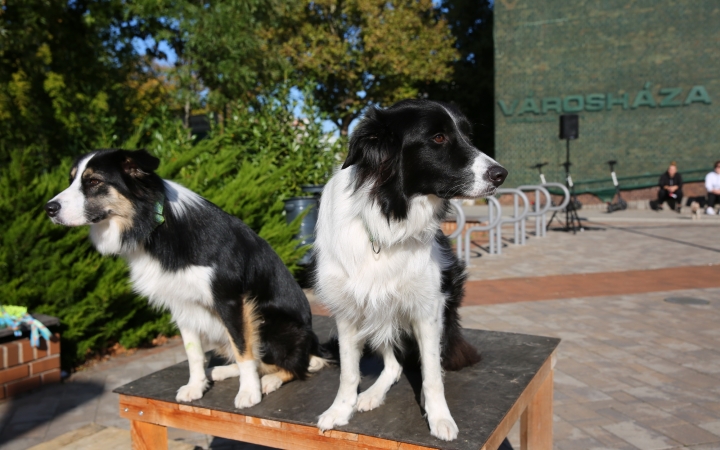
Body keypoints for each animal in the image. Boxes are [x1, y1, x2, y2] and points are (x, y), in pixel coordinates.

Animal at [45, 150, 326, 408]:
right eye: (71, 180)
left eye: (94, 181)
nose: (49, 208)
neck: (155, 224)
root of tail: (312, 343)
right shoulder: (181, 303)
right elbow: (194, 353)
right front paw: (196, 386)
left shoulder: (231, 301)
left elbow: (244, 349)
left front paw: (249, 392)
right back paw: (224, 371)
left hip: (271, 324)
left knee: (297, 365)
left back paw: (270, 380)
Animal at [316, 100, 506, 442]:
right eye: (439, 138)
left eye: (467, 135)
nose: (501, 174)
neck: (388, 218)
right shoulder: (347, 311)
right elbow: (349, 372)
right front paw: (340, 410)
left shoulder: (428, 309)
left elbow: (431, 374)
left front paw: (439, 417)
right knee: (393, 363)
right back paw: (370, 395)